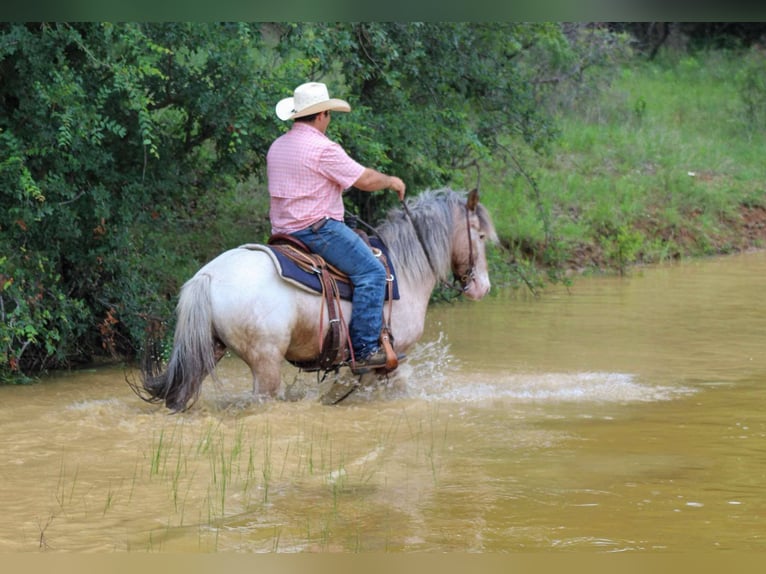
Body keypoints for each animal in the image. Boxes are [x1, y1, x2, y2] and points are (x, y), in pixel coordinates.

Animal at [137, 188, 497, 411]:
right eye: (480, 236)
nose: (483, 287)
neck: (403, 271)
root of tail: (208, 276)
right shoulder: (389, 361)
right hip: (265, 363)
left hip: (208, 351)